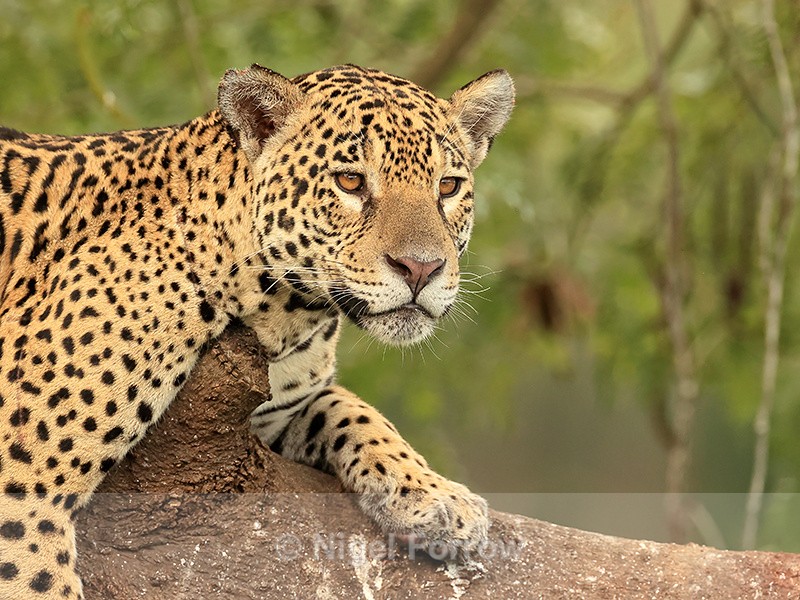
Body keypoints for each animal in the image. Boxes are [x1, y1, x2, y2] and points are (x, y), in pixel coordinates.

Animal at [0, 63, 514, 598]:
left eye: (448, 187)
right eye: (350, 181)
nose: (421, 268)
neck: (284, 316)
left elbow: (350, 407)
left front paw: (435, 495)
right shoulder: (26, 487)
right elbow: (37, 578)